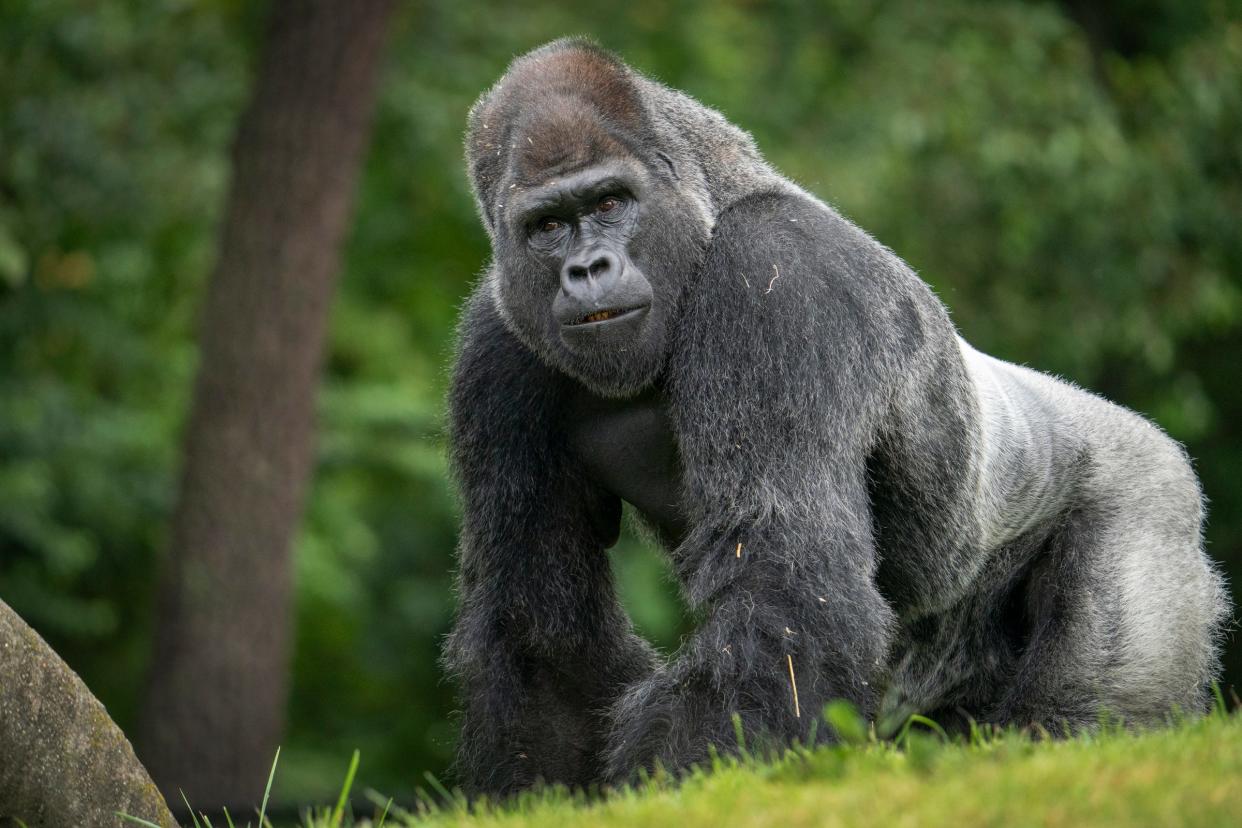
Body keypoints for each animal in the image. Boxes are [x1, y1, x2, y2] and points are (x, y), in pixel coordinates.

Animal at [442, 40, 1227, 794]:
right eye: (547, 226)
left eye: (610, 204)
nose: (589, 269)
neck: (708, 206)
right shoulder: (495, 347)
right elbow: (543, 627)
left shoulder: (779, 274)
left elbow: (783, 585)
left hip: (1148, 505)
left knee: (1085, 704)